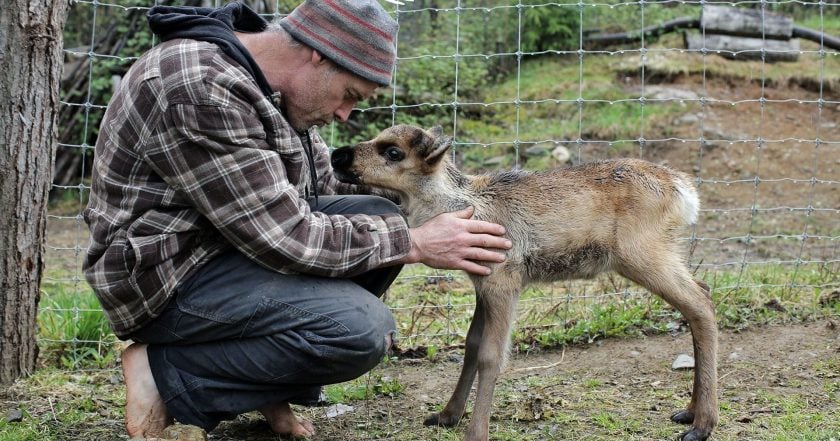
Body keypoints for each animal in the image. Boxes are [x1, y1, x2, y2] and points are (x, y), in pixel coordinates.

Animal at [332, 124, 720, 440]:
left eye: (393, 152)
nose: (338, 155)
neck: (460, 205)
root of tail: (685, 192)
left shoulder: (504, 280)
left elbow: (491, 355)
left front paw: (476, 432)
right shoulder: (481, 283)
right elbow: (471, 345)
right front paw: (447, 415)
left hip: (642, 253)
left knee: (700, 304)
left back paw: (702, 425)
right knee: (702, 294)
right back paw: (690, 413)